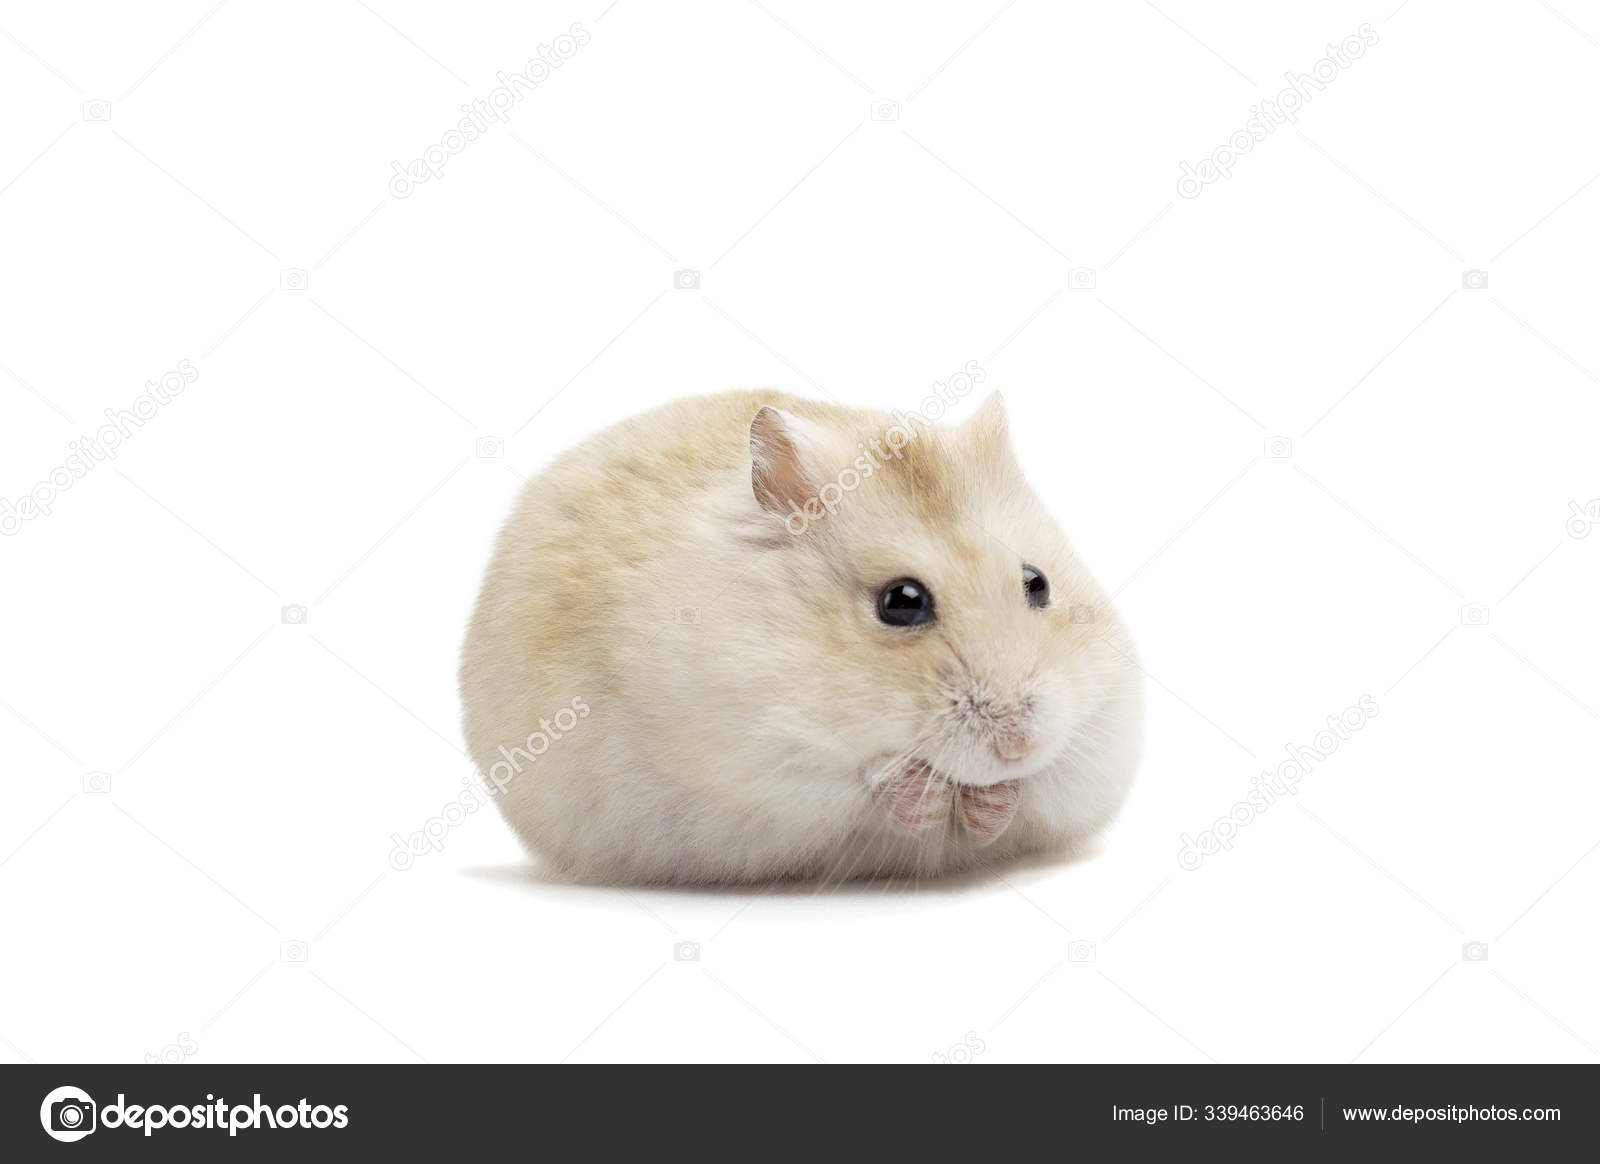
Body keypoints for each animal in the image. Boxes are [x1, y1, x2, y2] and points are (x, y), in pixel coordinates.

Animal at [458, 390, 1142, 884]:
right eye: (902, 602)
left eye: (1038, 583)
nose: (1020, 745)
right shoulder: (756, 755)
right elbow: (869, 782)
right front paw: (931, 796)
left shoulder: (1101, 738)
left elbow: (1039, 790)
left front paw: (991, 800)